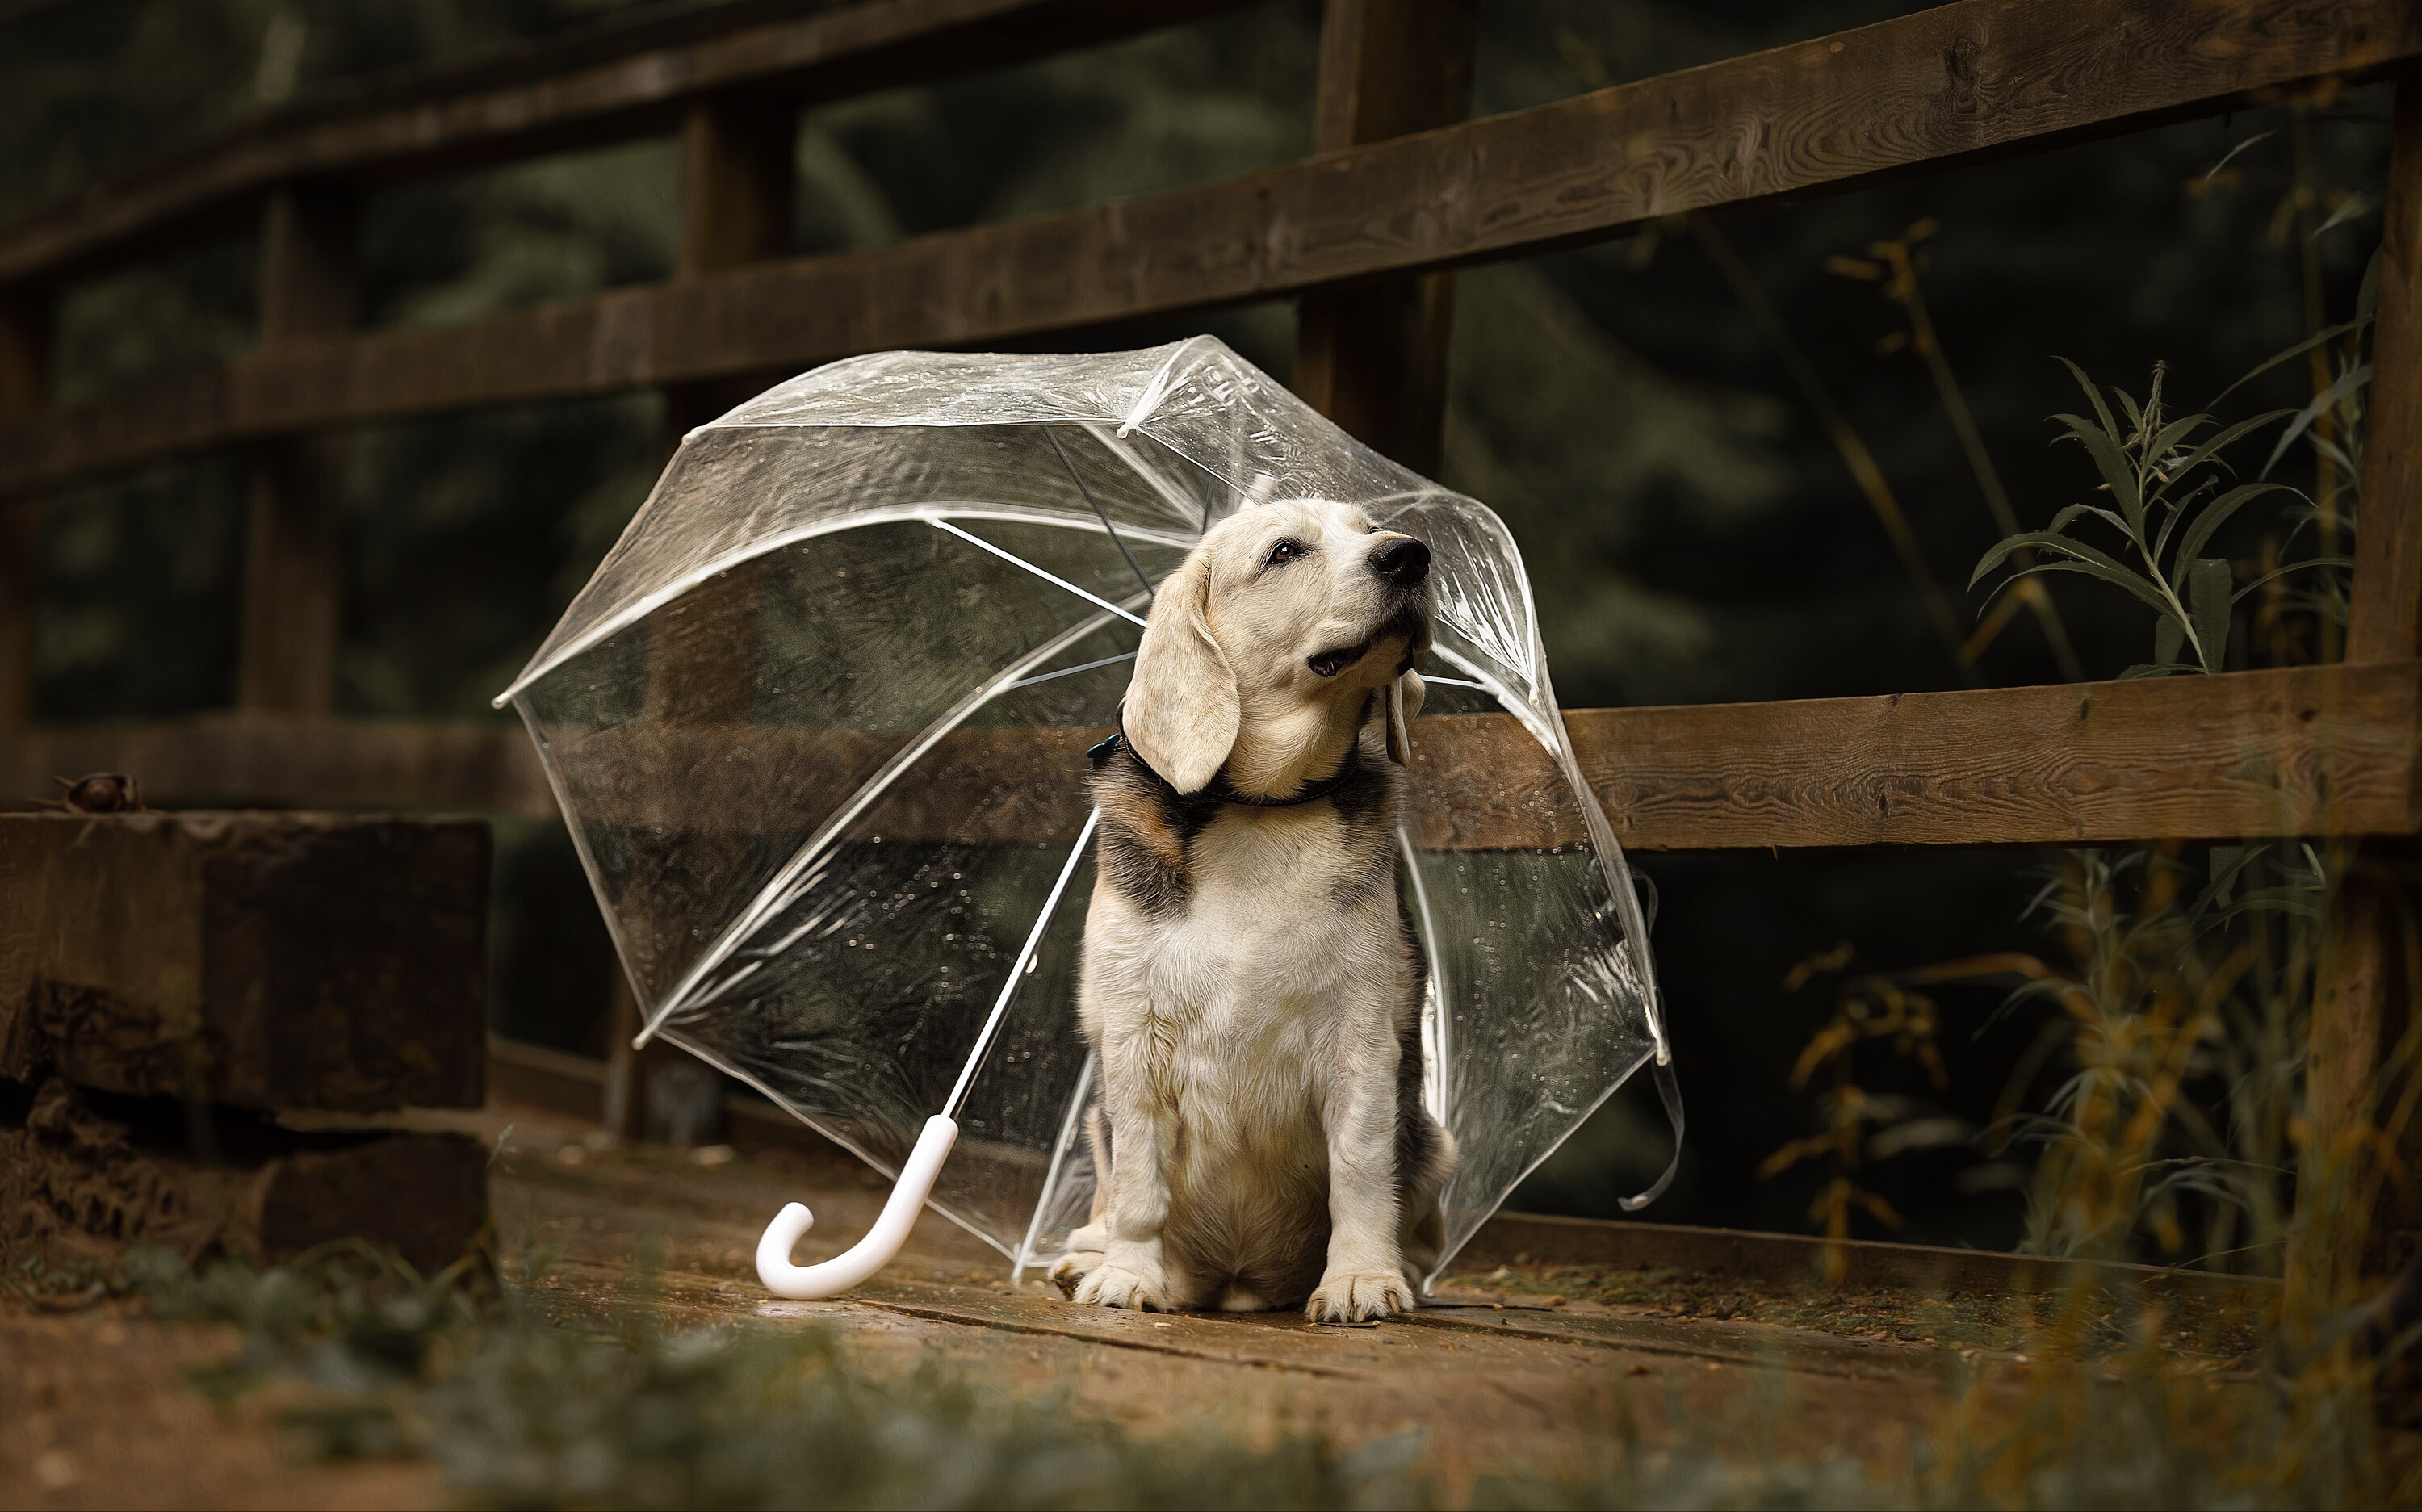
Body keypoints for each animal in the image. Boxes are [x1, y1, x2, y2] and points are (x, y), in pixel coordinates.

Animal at [1046, 499, 1453, 1317]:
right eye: (1284, 552)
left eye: (1370, 529)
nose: (1410, 555)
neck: (1264, 808)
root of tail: (1237, 1282)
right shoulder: (1133, 1040)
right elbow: (1138, 1185)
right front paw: (1129, 1274)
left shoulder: (1362, 1038)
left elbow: (1361, 1170)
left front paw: (1362, 1276)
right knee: (1106, 1199)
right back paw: (1090, 1257)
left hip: (1434, 1142)